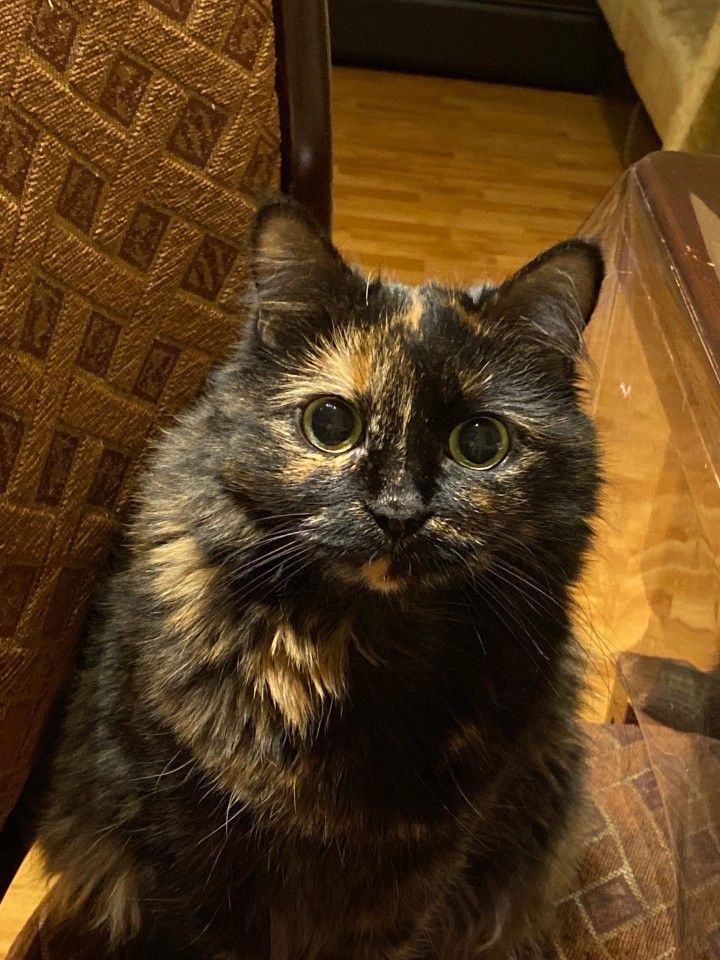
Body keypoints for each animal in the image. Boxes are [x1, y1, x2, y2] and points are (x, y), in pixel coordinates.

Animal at [38, 197, 600, 960]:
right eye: (331, 424)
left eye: (481, 443)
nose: (399, 513)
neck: (356, 651)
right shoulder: (182, 845)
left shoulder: (414, 879)